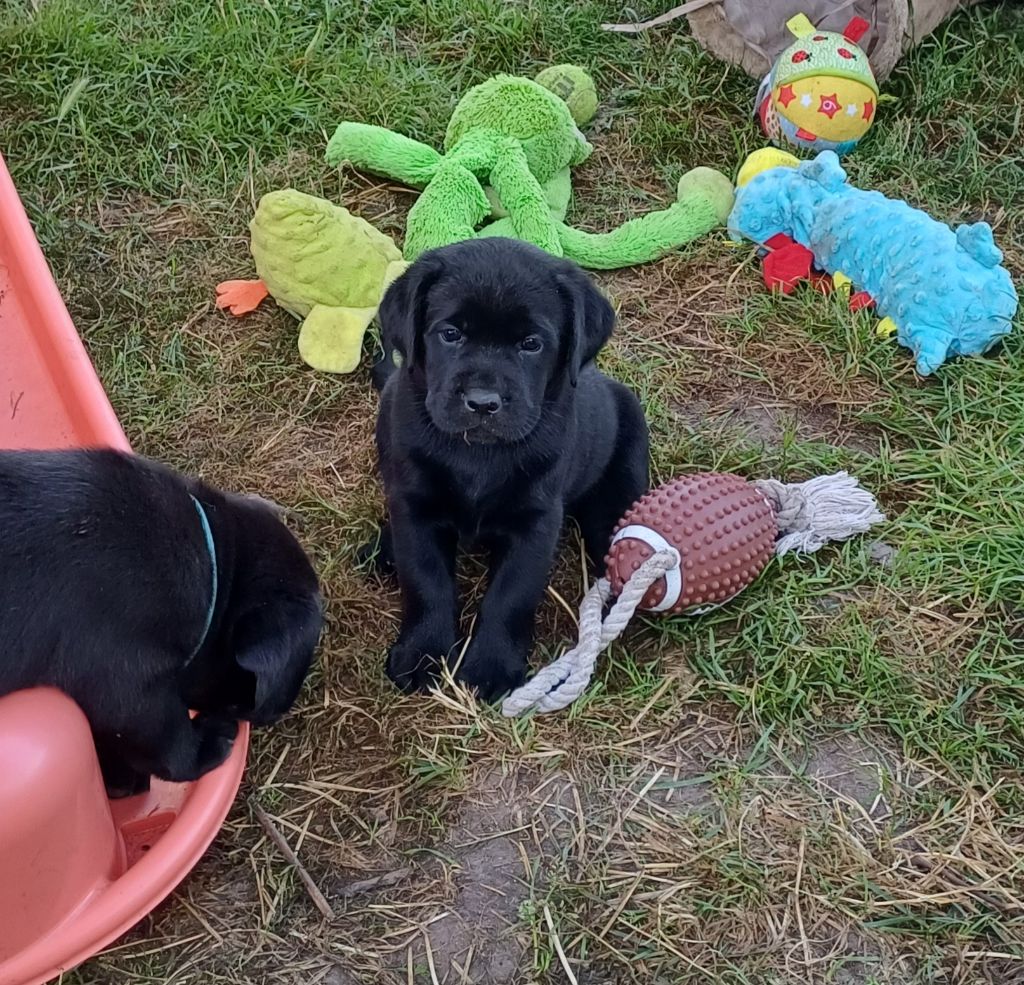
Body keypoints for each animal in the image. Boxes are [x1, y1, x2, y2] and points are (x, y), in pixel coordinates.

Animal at [368, 237, 647, 700]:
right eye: (451, 334)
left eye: (531, 344)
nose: (483, 403)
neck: (478, 456)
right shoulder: (413, 507)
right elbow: (426, 580)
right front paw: (423, 653)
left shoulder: (535, 521)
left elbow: (511, 593)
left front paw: (491, 667)